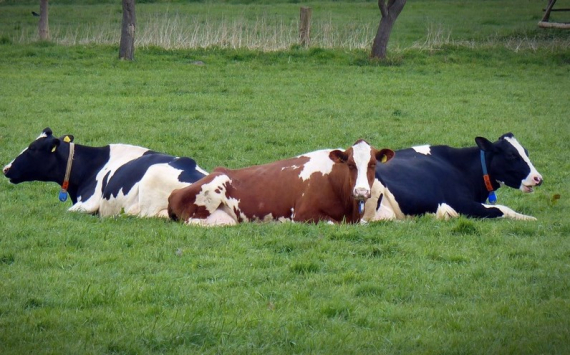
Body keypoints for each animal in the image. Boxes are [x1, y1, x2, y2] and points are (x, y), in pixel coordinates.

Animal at [364, 134, 540, 222]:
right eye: (511, 155)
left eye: (526, 152)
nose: (538, 178)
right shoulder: (462, 204)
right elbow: (502, 209)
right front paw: (530, 218)